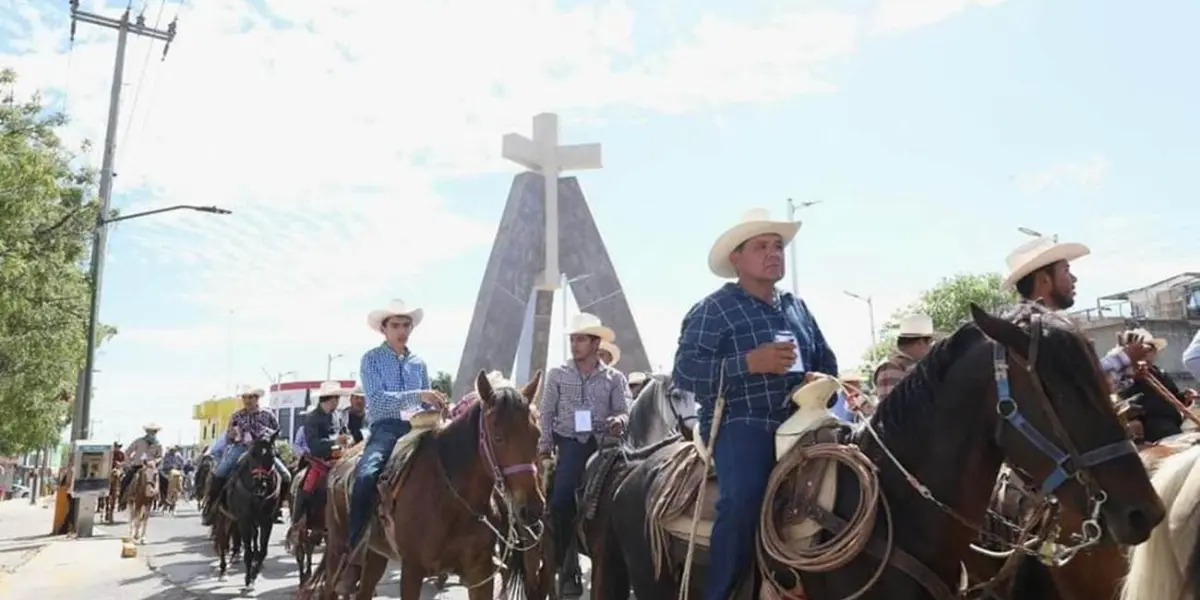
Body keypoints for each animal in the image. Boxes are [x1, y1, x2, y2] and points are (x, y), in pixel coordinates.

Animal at [302, 369, 547, 600]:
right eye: (497, 437)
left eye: (537, 435)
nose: (532, 508)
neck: (451, 500)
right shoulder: (412, 569)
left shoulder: (480, 572)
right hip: (337, 549)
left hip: (375, 554)